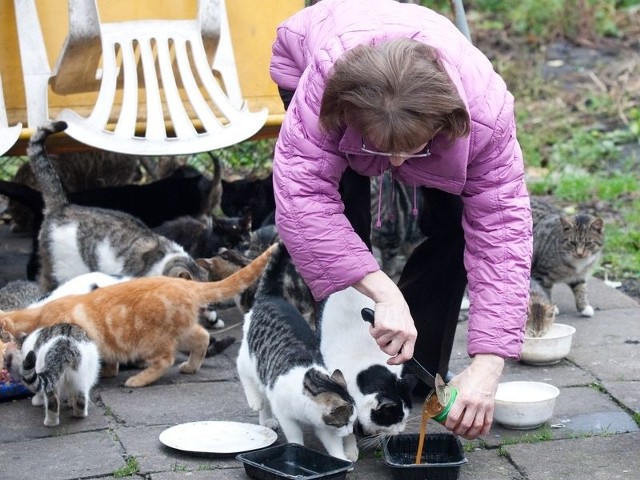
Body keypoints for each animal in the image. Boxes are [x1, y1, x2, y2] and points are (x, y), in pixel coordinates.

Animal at [0, 244, 276, 386]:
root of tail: (183, 284)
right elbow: (108, 359)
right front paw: (109, 371)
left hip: (152, 340)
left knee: (165, 360)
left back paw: (138, 379)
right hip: (183, 330)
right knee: (203, 337)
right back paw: (190, 367)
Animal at [235, 244, 358, 462]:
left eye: (353, 420)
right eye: (344, 421)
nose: (350, 430)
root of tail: (271, 296)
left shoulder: (323, 426)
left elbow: (332, 443)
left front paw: (341, 458)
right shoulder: (286, 416)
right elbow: (294, 436)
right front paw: (296, 451)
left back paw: (265, 418)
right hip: (249, 359)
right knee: (245, 374)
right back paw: (257, 403)